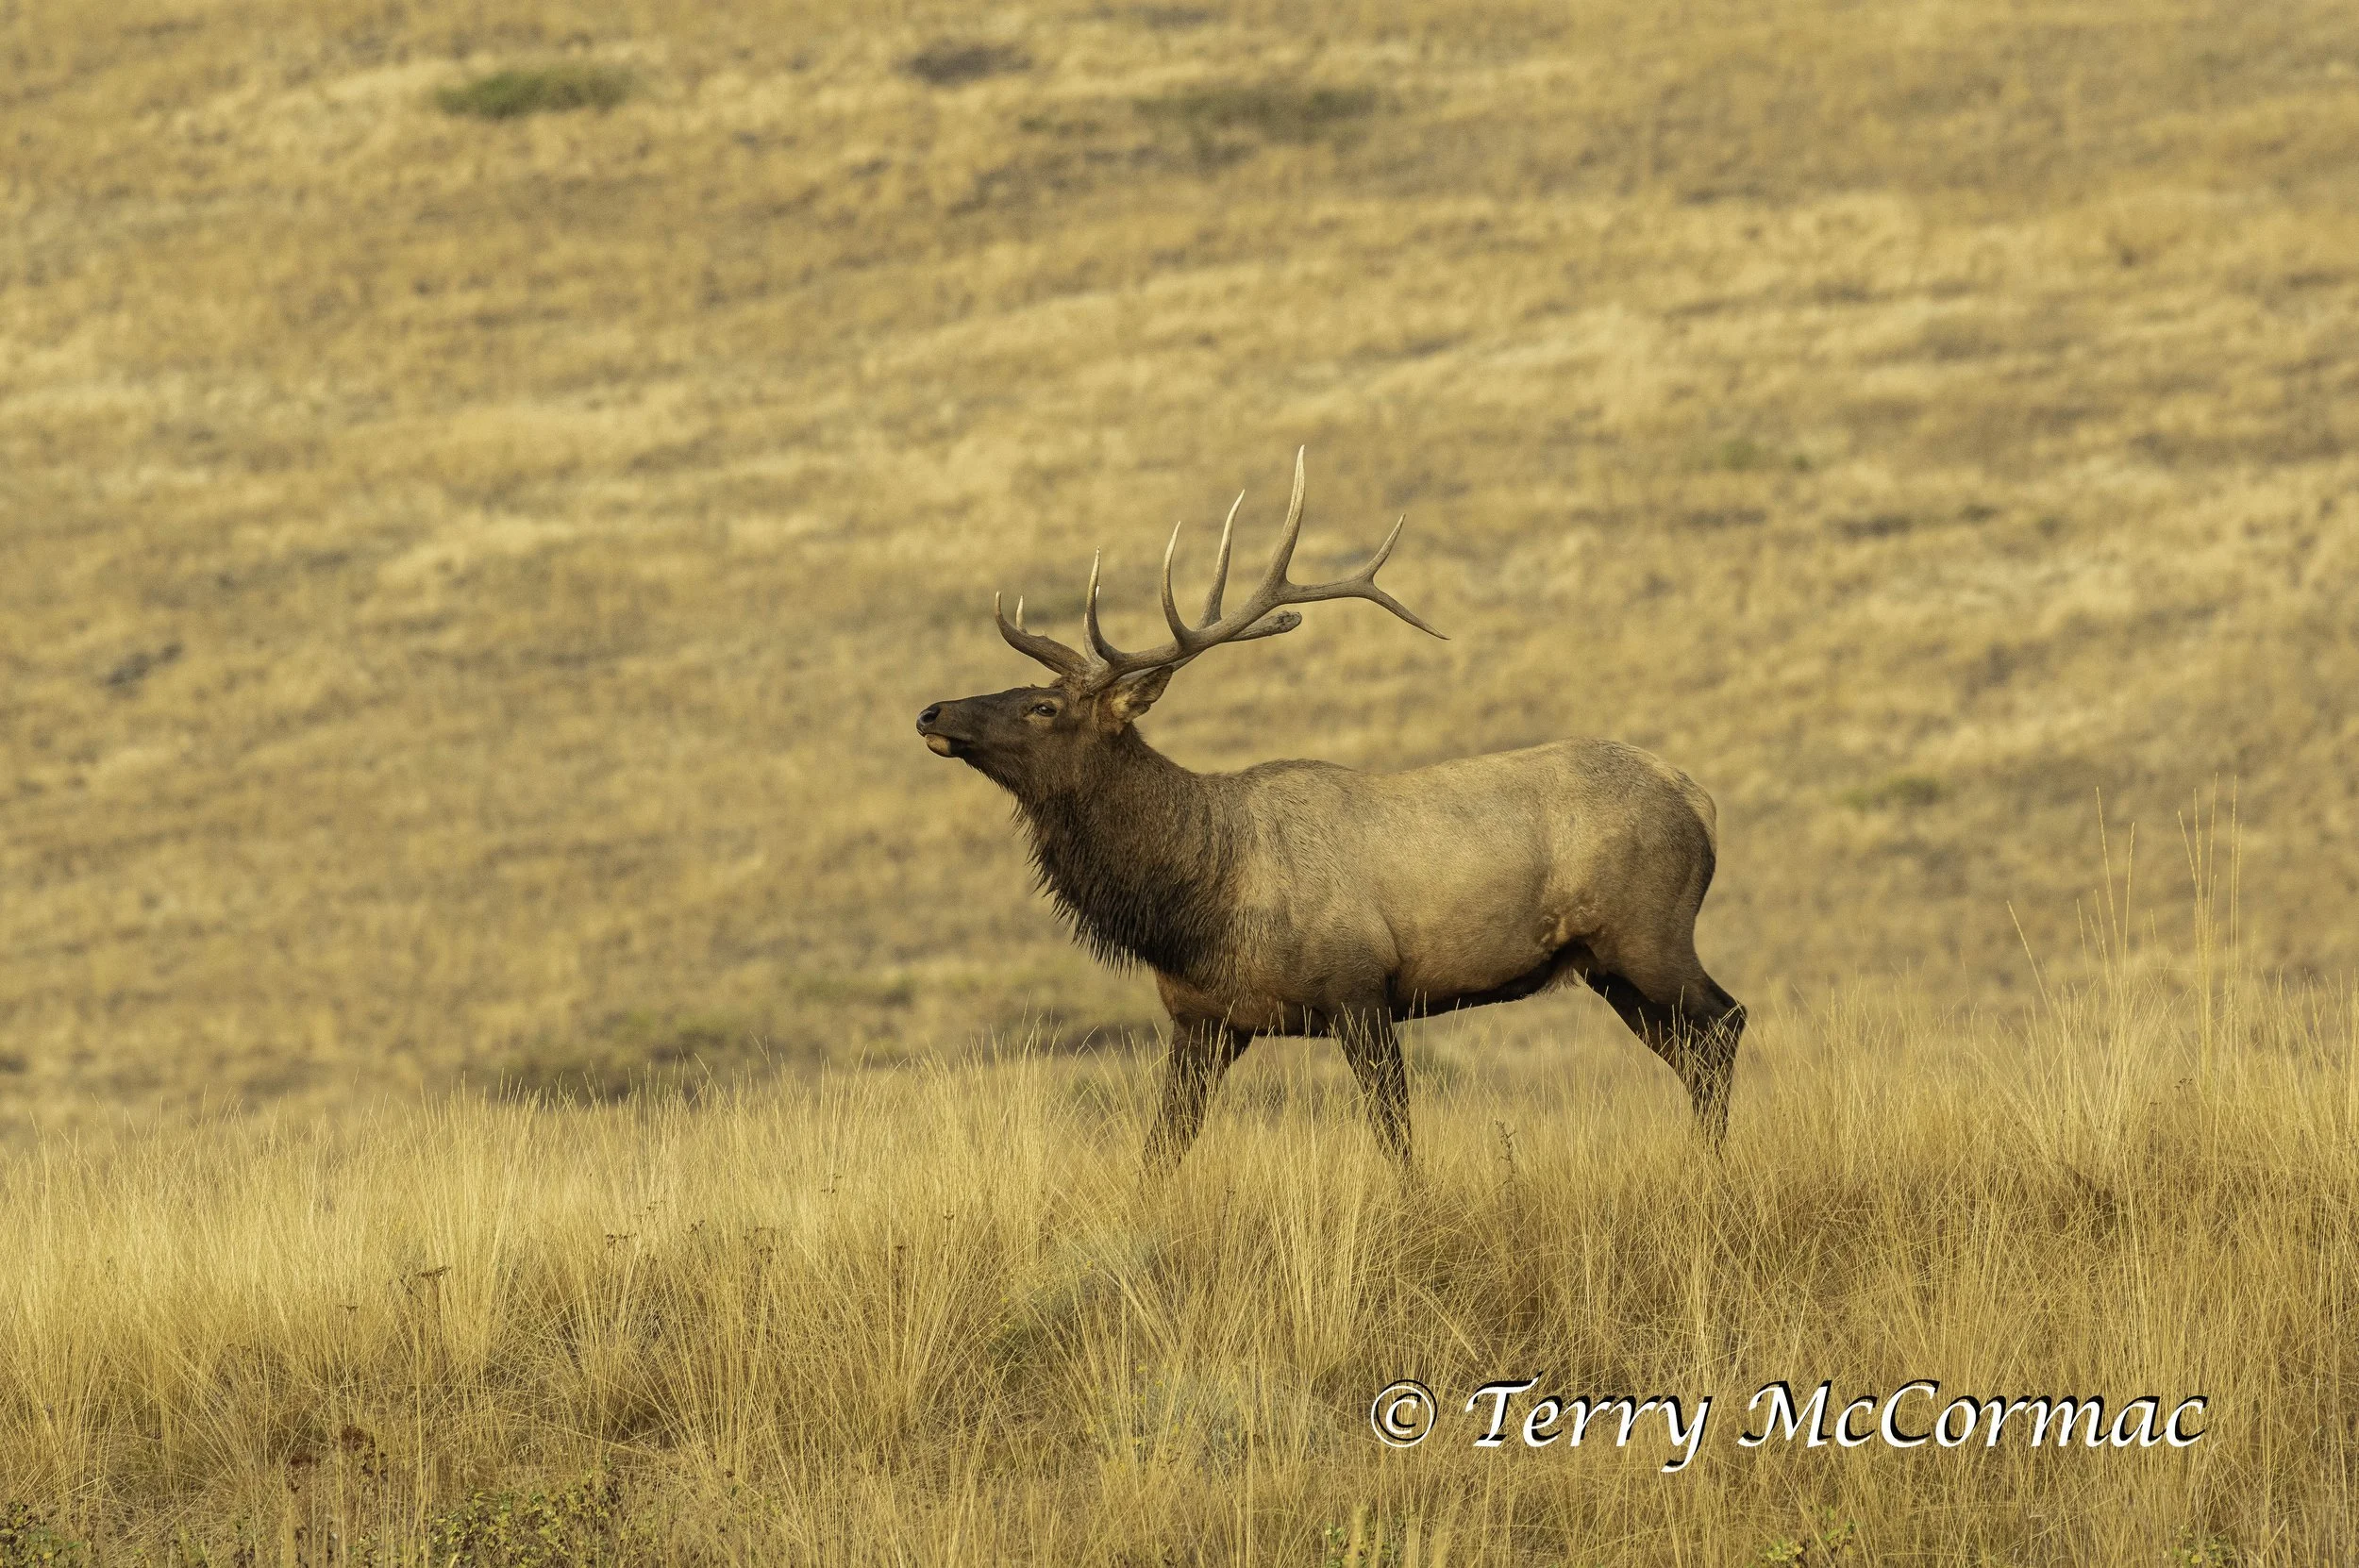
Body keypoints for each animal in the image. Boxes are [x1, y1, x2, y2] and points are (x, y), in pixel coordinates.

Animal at [916, 451, 1745, 1175]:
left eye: (1043, 706)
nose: (931, 711)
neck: (1197, 900)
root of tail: (1699, 798)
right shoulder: (1200, 1021)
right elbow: (1160, 1150)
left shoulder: (1360, 988)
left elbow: (1395, 1133)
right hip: (1605, 966)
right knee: (1690, 1054)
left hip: (1650, 933)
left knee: (1724, 1025)